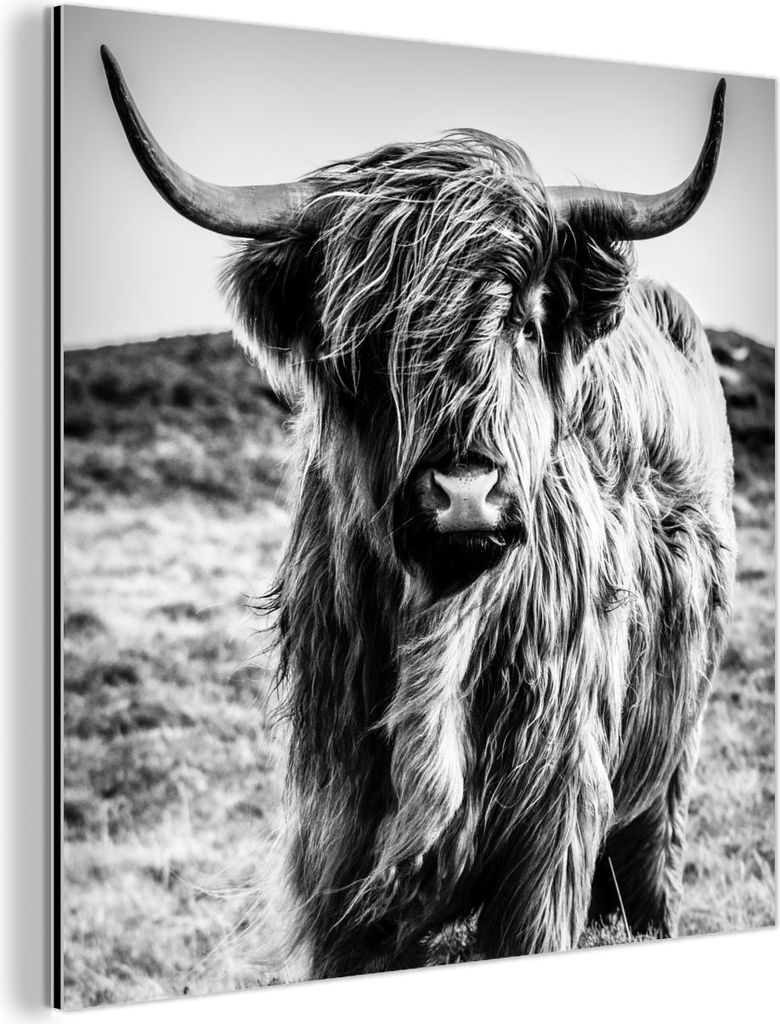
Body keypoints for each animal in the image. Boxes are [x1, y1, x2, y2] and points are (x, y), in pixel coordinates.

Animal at [101, 46, 736, 979]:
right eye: (365, 340)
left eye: (524, 321)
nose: (465, 491)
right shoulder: (337, 846)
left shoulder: (551, 831)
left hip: (668, 769)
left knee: (653, 876)